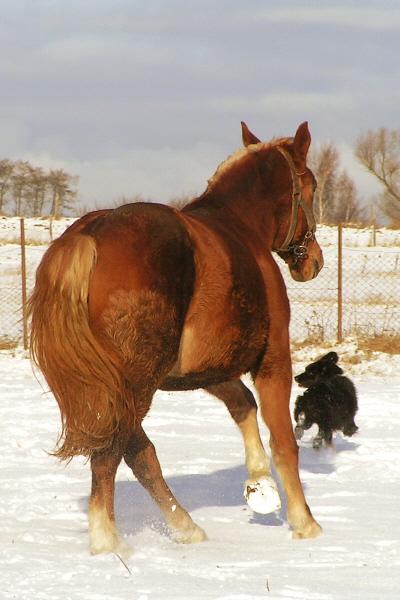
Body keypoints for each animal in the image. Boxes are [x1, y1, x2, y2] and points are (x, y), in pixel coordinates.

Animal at [30, 120, 324, 552]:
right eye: (311, 186)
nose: (313, 262)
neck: (241, 229)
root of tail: (90, 234)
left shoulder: (208, 370)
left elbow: (243, 405)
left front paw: (260, 487)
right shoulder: (272, 360)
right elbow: (283, 441)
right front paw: (304, 521)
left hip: (115, 387)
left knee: (137, 451)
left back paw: (185, 527)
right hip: (133, 386)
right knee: (113, 454)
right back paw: (108, 541)